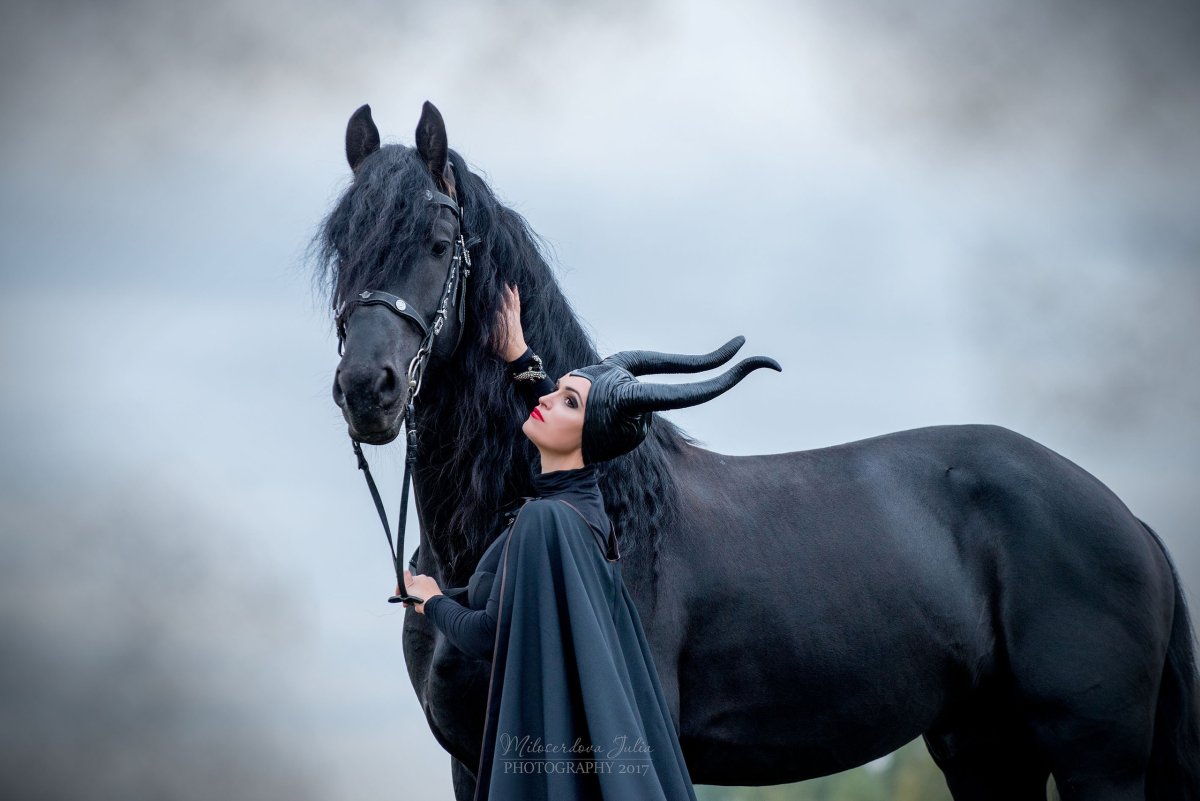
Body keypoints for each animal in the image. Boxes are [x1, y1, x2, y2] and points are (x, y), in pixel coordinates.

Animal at [314, 101, 1199, 801]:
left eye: (438, 239)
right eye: (340, 248)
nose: (368, 389)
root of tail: (1130, 522)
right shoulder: (470, 761)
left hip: (1095, 757)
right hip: (986, 749)